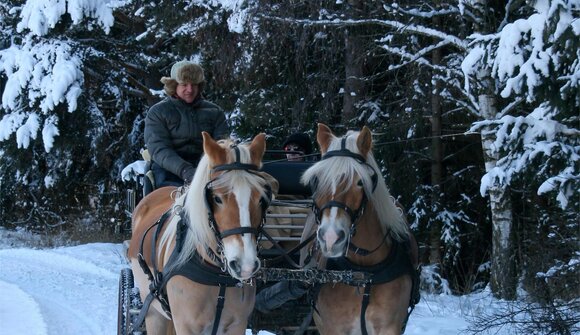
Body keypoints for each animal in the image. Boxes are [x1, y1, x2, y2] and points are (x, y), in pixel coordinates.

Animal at [127, 133, 272, 334]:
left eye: (260, 199)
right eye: (217, 198)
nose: (245, 266)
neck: (218, 277)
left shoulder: (237, 325)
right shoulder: (185, 326)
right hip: (153, 313)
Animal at [302, 124, 420, 335]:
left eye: (359, 181)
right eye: (317, 180)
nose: (330, 238)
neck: (363, 273)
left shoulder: (390, 327)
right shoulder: (333, 327)